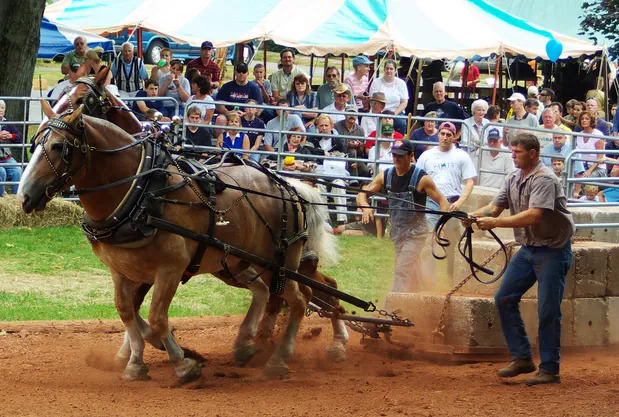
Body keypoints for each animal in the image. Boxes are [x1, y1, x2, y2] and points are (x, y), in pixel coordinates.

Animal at [50, 67, 352, 368]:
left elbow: (136, 306)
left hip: (283, 264)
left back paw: (331, 342)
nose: (49, 124)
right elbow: (132, 309)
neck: (147, 180)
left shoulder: (154, 268)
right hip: (244, 266)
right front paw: (133, 352)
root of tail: (295, 189)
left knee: (317, 291)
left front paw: (154, 347)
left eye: (81, 100)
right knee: (294, 294)